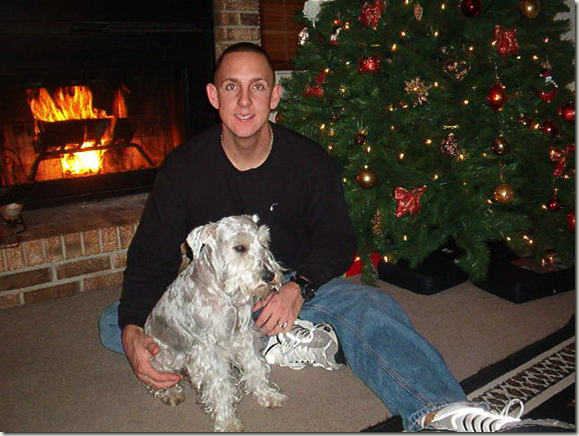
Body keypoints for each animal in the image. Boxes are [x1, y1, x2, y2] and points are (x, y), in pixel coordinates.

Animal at [143, 214, 287, 432]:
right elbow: (220, 387)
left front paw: (267, 395)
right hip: (167, 356)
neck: (225, 295)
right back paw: (170, 392)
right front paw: (228, 422)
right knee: (157, 378)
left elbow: (255, 366)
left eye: (264, 242)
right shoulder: (208, 351)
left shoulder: (244, 336)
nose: (269, 276)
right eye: (239, 248)